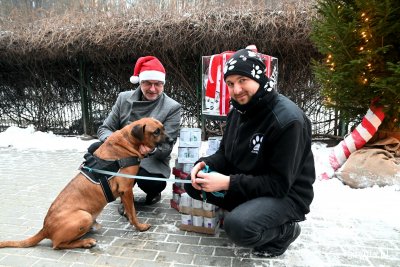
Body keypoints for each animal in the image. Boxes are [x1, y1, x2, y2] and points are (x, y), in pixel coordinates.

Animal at [0, 118, 170, 250]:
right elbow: (133, 212)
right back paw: (86, 242)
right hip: (84, 216)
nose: (171, 140)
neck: (128, 140)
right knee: (57, 244)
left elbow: (129, 210)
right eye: (156, 132)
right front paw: (139, 226)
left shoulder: (125, 191)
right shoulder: (126, 189)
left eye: (164, 128)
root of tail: (45, 228)